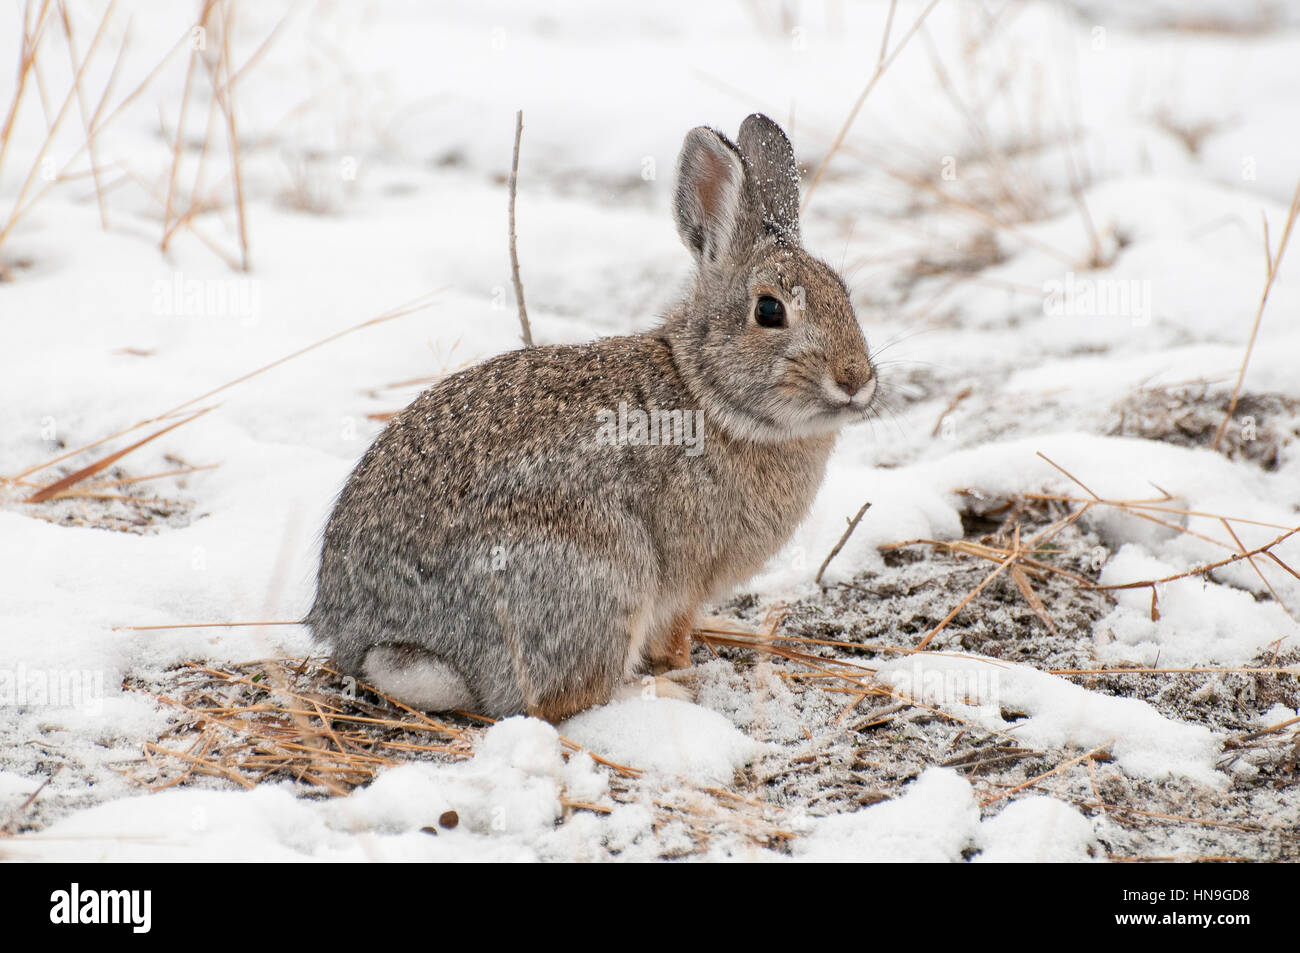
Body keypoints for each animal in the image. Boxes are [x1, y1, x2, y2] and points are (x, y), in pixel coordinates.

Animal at [302, 111, 873, 722]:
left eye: (845, 295)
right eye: (769, 310)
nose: (857, 379)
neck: (707, 392)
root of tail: (375, 635)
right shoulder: (683, 582)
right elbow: (673, 636)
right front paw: (685, 668)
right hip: (601, 575)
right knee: (561, 699)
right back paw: (660, 694)